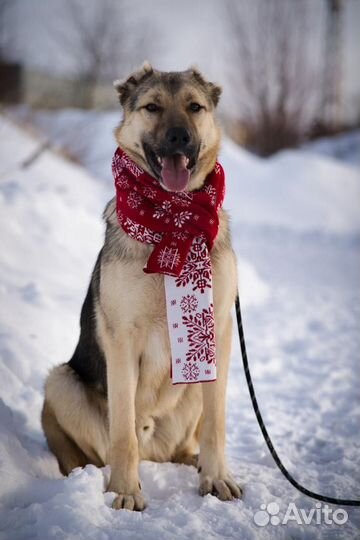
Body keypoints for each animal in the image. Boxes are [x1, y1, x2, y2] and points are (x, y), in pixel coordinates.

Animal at [42, 63, 242, 510]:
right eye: (152, 107)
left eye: (195, 107)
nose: (179, 137)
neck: (173, 221)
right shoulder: (122, 339)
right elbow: (122, 433)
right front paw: (124, 491)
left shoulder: (218, 334)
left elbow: (218, 424)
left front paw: (217, 477)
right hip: (60, 381)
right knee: (100, 446)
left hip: (196, 390)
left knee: (189, 441)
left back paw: (195, 463)